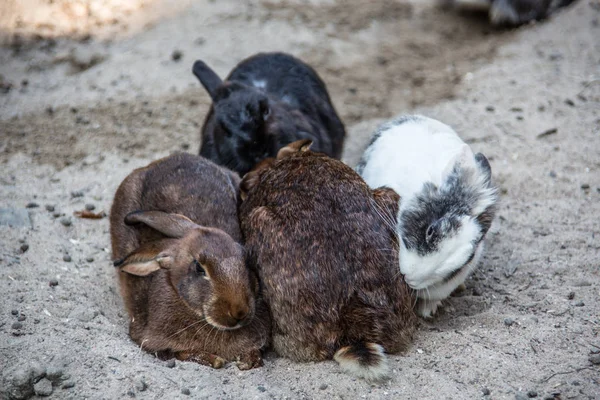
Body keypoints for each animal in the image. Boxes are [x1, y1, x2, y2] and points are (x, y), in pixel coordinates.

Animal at [109, 152, 270, 368]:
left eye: (246, 259)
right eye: (199, 268)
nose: (239, 312)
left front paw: (248, 360)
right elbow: (181, 353)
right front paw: (215, 359)